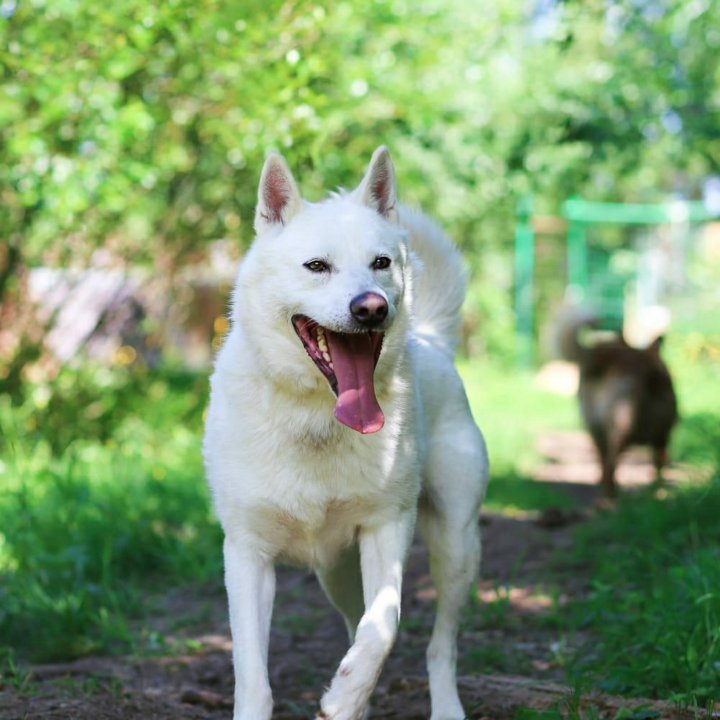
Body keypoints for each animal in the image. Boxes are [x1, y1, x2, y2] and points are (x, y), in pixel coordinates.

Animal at [205, 148, 492, 720]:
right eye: (317, 266)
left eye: (381, 263)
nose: (371, 307)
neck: (317, 418)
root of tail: (432, 338)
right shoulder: (247, 555)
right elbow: (252, 674)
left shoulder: (387, 528)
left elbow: (383, 625)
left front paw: (343, 696)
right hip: (335, 573)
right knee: (351, 621)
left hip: (456, 543)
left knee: (439, 644)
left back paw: (434, 703)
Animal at [556, 310, 680, 496]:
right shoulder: (662, 438)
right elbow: (659, 470)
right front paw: (658, 493)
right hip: (622, 428)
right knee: (610, 467)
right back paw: (611, 500)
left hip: (595, 430)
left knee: (604, 467)